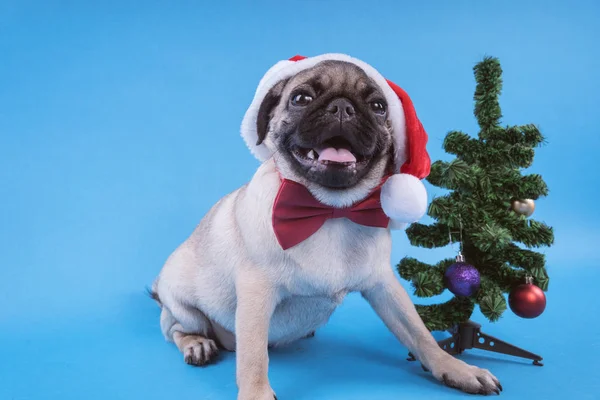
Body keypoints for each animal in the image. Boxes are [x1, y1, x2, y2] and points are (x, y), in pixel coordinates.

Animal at [151, 54, 502, 400]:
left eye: (378, 106)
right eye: (301, 98)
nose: (342, 107)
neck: (330, 210)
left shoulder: (383, 285)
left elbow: (419, 333)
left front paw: (455, 368)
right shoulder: (255, 292)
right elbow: (253, 357)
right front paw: (256, 393)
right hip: (182, 303)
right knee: (175, 327)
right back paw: (197, 343)